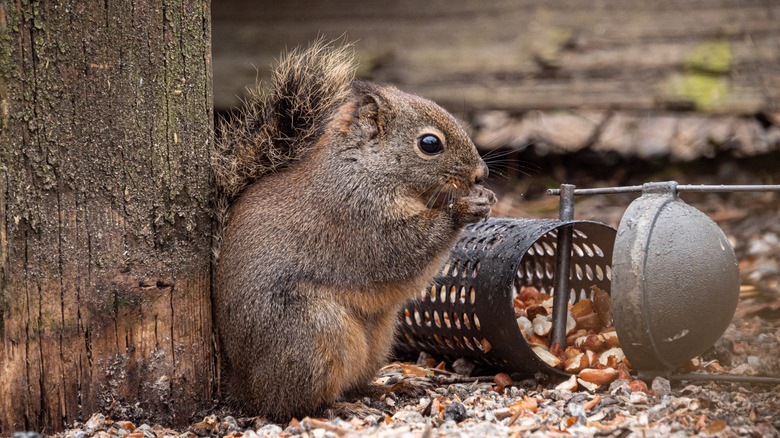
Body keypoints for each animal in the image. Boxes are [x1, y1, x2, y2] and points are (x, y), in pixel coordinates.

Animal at [212, 40, 496, 421]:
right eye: (429, 144)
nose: (481, 175)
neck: (367, 167)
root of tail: (243, 384)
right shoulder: (359, 216)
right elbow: (403, 250)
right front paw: (463, 208)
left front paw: (485, 197)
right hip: (313, 336)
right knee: (293, 404)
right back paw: (341, 406)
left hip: (377, 337)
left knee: (356, 381)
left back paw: (390, 387)